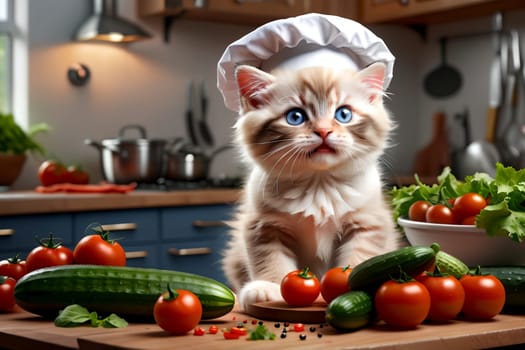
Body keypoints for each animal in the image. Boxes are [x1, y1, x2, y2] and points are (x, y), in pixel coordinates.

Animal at [223, 63, 400, 308]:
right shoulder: (264, 226)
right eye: (295, 117)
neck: (319, 184)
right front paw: (269, 287)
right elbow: (271, 260)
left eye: (344, 114)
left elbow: (359, 257)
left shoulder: (367, 223)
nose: (324, 131)